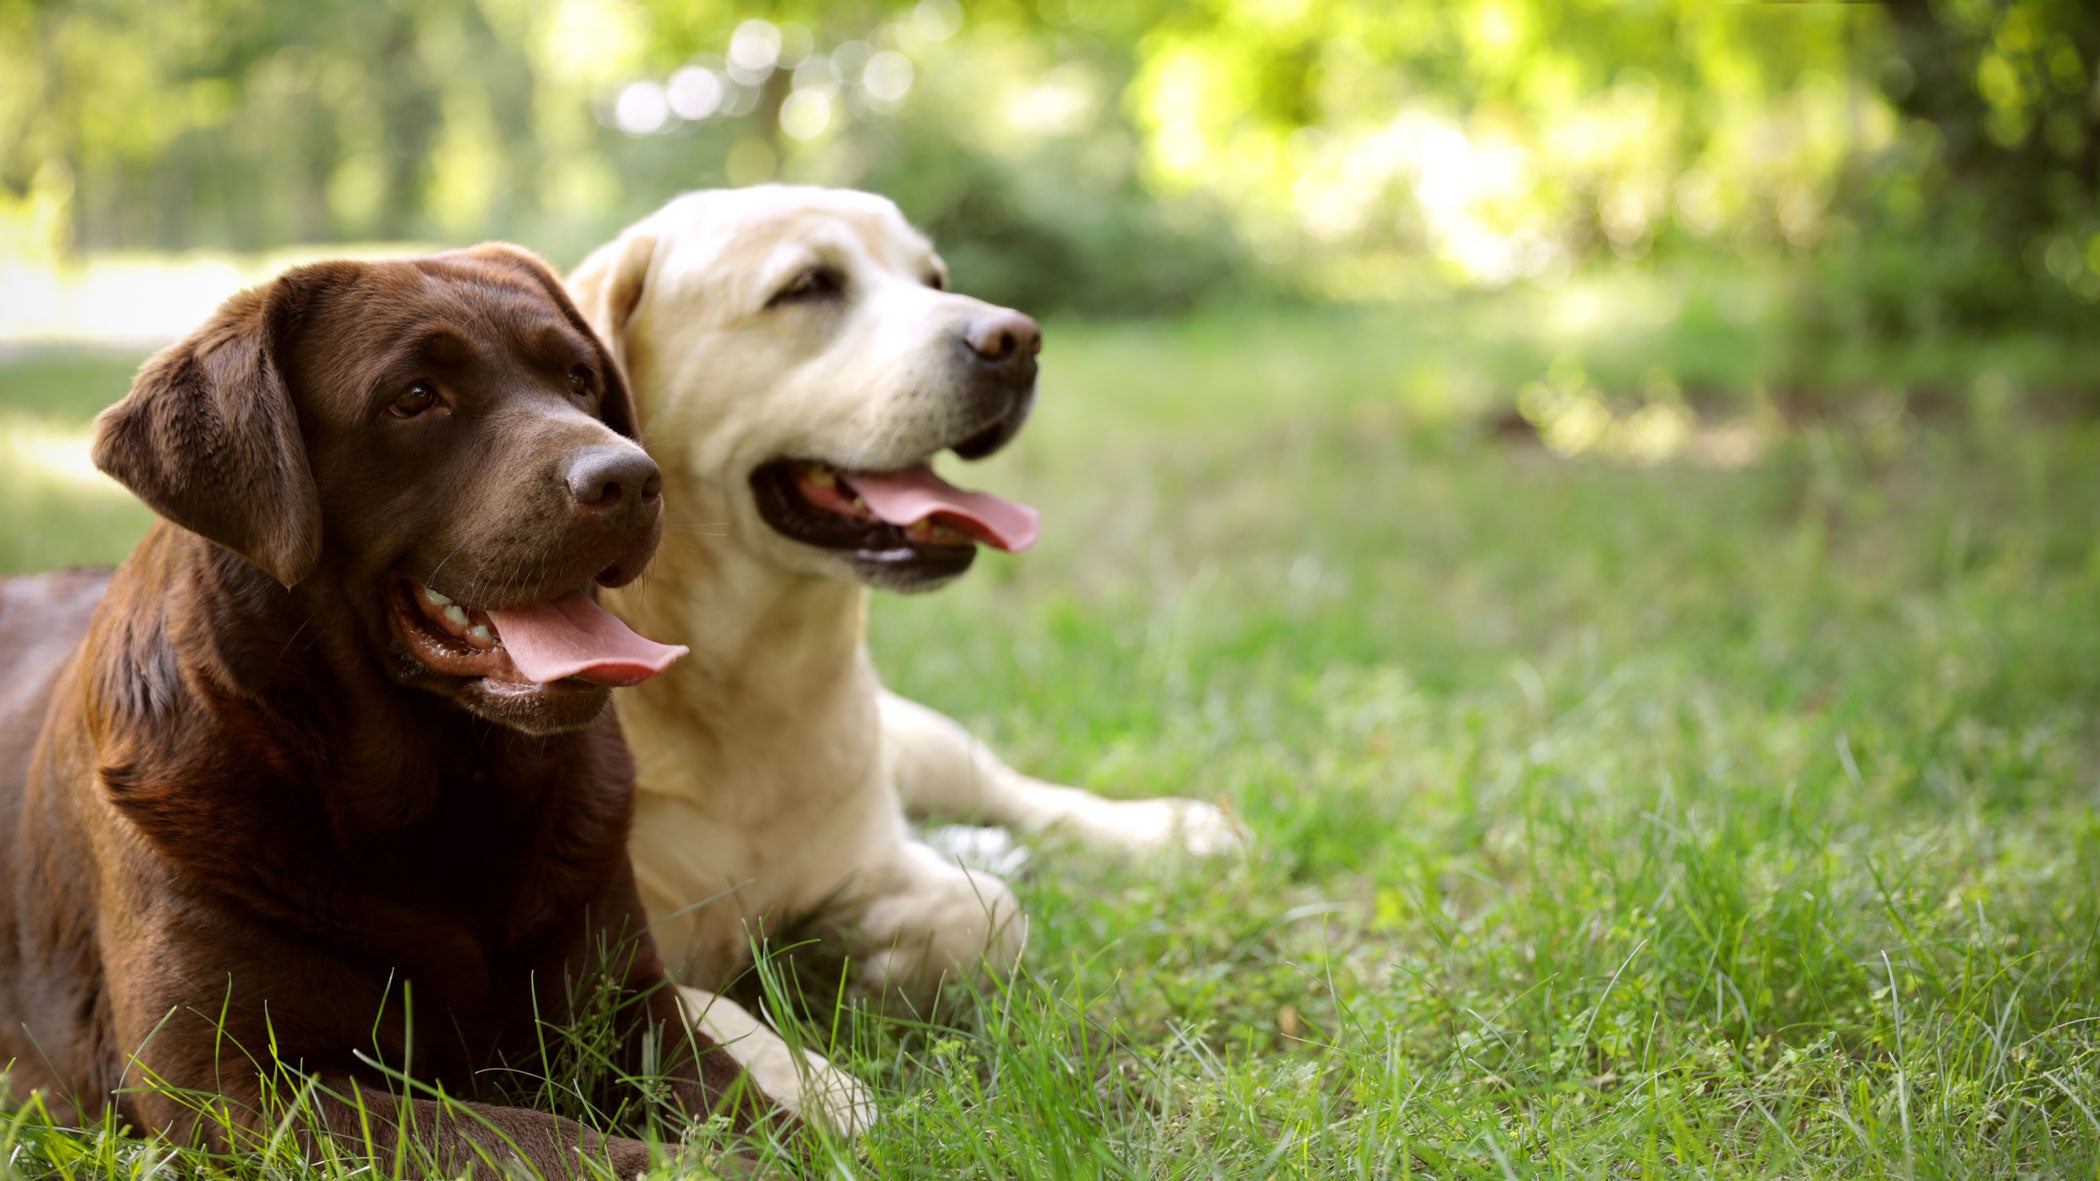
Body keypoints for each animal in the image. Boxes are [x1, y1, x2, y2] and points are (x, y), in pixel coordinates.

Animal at [0, 243, 768, 1168]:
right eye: (414, 397)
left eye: (580, 378)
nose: (628, 477)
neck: (444, 803)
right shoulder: (231, 1080)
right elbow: (517, 1134)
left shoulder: (632, 1008)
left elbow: (750, 1103)